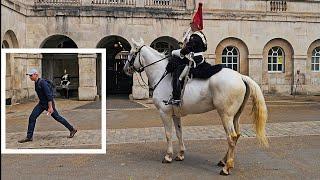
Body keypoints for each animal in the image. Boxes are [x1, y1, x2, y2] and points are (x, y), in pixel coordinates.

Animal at [124, 38, 268, 175]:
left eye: (131, 53)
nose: (125, 69)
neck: (162, 74)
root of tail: (241, 76)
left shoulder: (164, 112)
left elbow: (168, 134)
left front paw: (168, 156)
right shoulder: (175, 114)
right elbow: (179, 133)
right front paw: (180, 154)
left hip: (225, 115)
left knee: (231, 137)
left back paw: (227, 168)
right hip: (235, 116)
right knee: (237, 135)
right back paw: (223, 161)